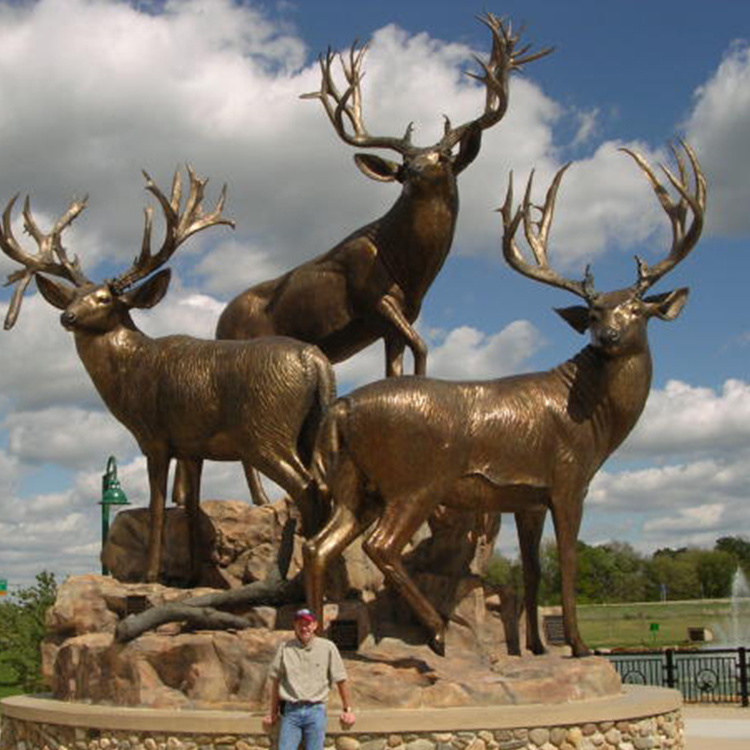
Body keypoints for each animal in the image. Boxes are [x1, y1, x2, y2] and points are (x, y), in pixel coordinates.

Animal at [0, 169, 334, 580]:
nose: (68, 316)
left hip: (266, 428)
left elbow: (158, 507)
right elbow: (191, 509)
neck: (133, 371)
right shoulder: (192, 445)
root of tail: (314, 359)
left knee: (307, 487)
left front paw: (150, 575)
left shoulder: (154, 435)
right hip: (306, 429)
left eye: (105, 298)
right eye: (75, 296)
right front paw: (192, 575)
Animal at [302, 142, 708, 656]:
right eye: (594, 311)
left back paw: (317, 638)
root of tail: (343, 408)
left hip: (356, 484)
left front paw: (534, 646)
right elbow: (568, 562)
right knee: (381, 546)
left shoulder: (526, 497)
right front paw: (580, 646)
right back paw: (436, 632)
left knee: (319, 545)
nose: (608, 336)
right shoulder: (569, 479)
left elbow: (533, 571)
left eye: (638, 309)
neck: (595, 422)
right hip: (417, 479)